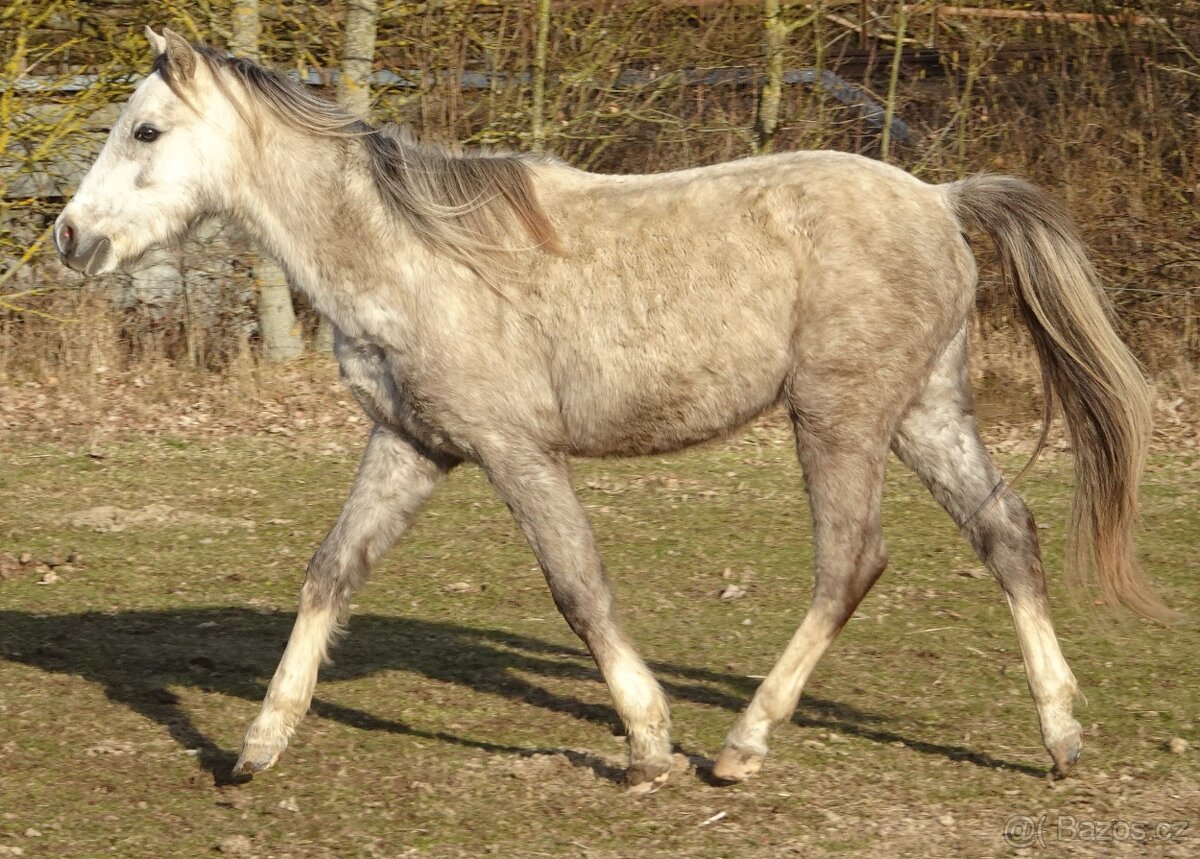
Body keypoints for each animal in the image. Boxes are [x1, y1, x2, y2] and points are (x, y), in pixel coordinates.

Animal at [55, 27, 1164, 793]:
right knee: (1005, 531)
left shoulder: (516, 450)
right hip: (925, 412)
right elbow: (331, 573)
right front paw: (255, 746)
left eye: (145, 129)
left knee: (851, 560)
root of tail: (940, 199)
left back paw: (740, 746)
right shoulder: (410, 445)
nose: (69, 237)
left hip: (839, 418)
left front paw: (647, 743)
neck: (412, 253)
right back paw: (1060, 735)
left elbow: (578, 587)